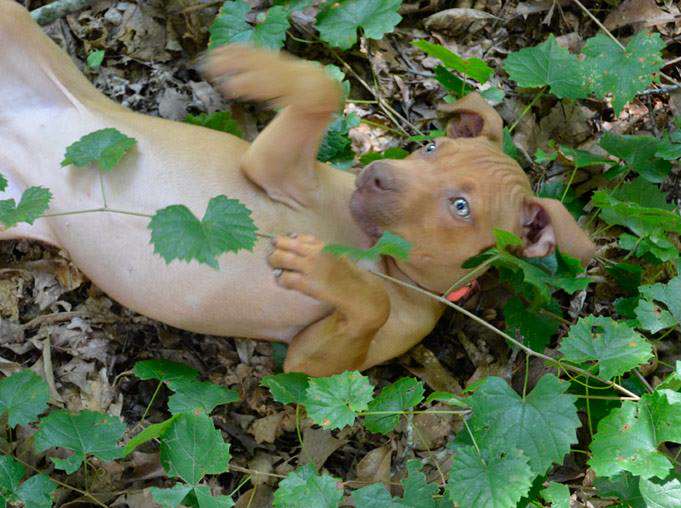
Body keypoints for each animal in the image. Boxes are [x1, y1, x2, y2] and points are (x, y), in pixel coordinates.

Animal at [0, 0, 596, 378]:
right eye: (429, 149)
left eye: (460, 207)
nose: (376, 176)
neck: (376, 250)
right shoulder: (271, 168)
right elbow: (323, 88)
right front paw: (251, 63)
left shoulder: (313, 362)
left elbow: (370, 305)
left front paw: (325, 270)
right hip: (13, 20)